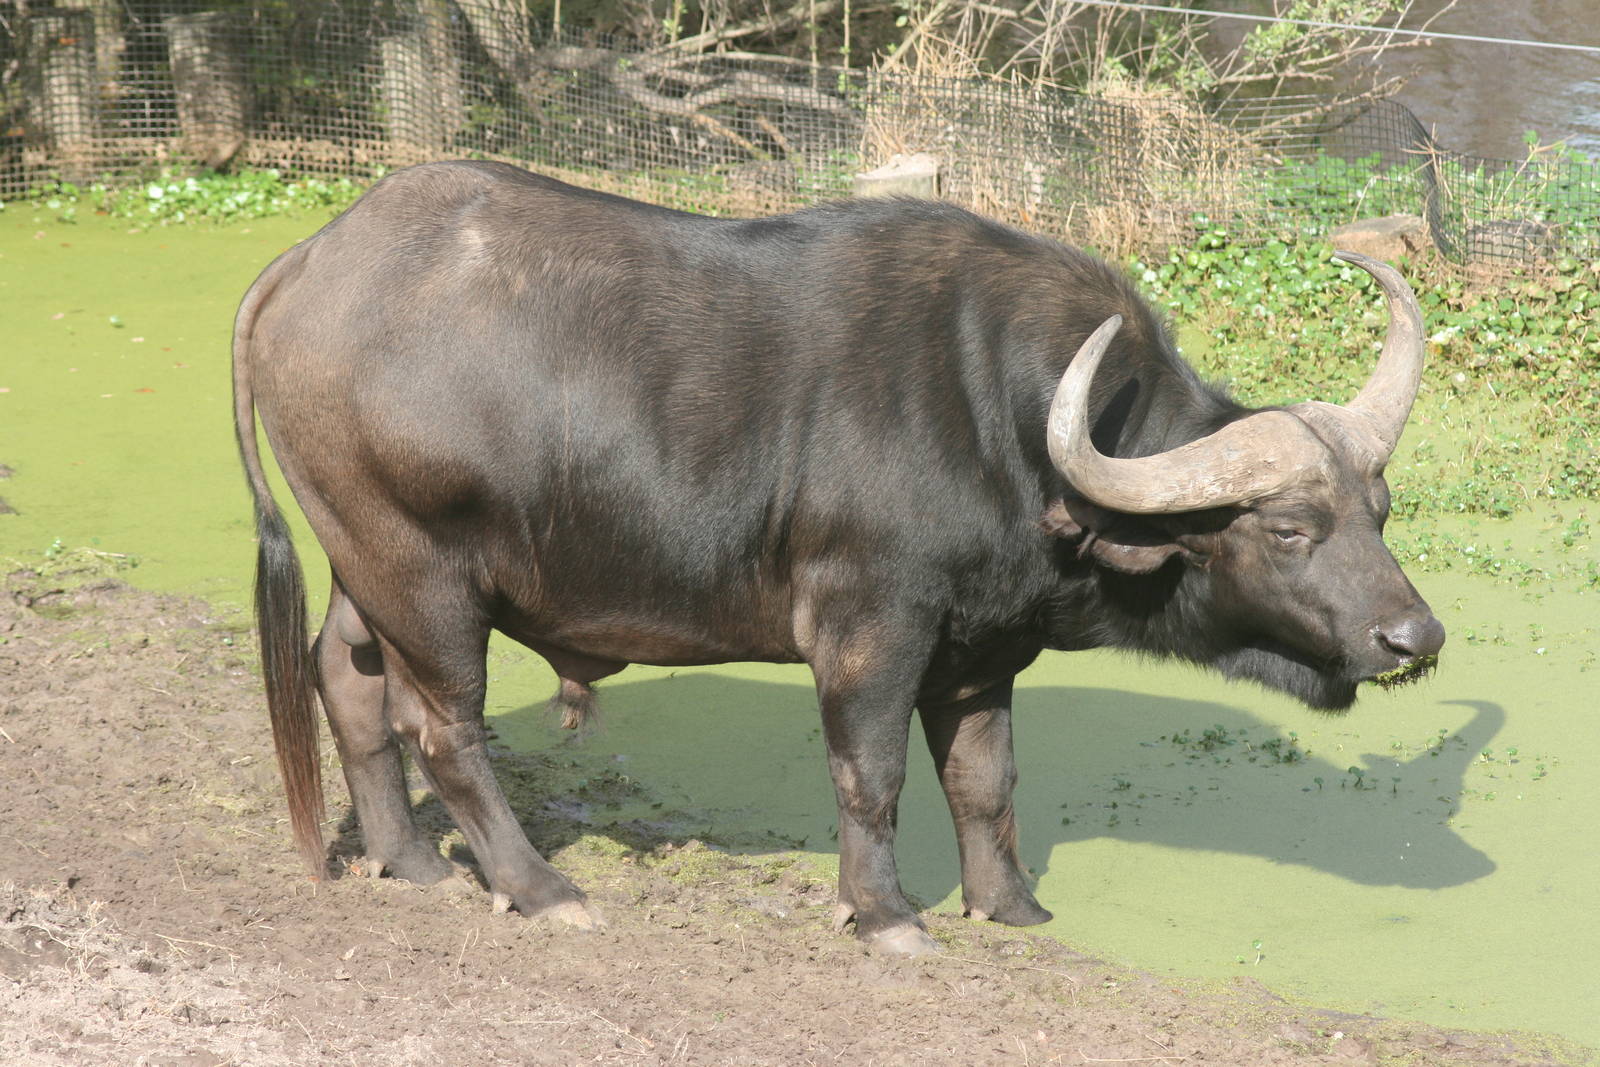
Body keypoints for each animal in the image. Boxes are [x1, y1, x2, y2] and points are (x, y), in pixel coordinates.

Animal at [233, 160, 1443, 955]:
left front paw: (1009, 905)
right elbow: (872, 774)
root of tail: (305, 264)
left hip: (364, 563)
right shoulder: (870, 628)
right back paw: (538, 887)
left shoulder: (980, 651)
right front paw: (888, 914)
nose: (1414, 635)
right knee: (444, 727)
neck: (1006, 427)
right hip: (426, 577)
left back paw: (409, 859)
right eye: (1287, 528)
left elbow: (984, 779)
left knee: (346, 676)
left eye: (1379, 508)